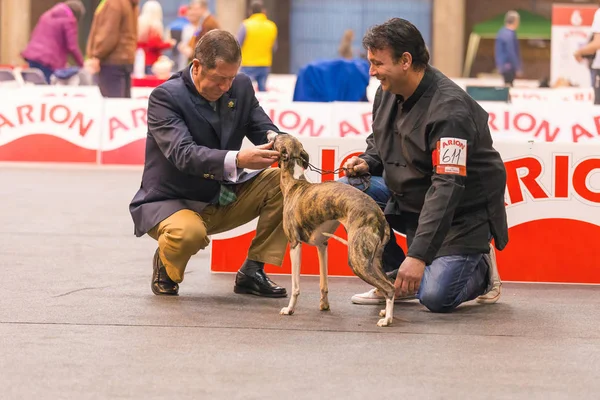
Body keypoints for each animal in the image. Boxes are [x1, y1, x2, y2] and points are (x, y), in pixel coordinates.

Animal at [270, 133, 394, 326]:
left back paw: (387, 319)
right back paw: (385, 313)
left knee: (389, 288)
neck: (295, 182)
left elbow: (296, 285)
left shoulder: (295, 244)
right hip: (374, 259)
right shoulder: (322, 245)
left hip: (358, 260)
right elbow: (324, 282)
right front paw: (324, 305)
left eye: (278, 137)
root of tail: (379, 216)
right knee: (391, 284)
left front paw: (290, 309)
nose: (269, 133)